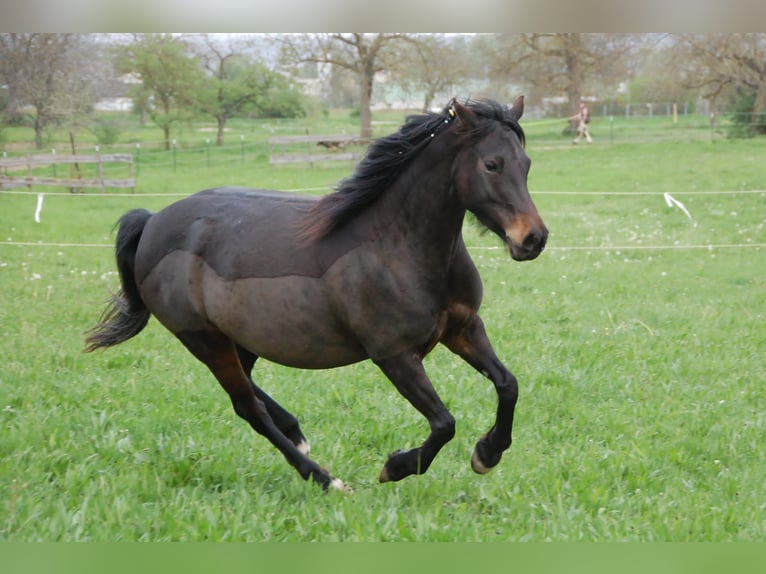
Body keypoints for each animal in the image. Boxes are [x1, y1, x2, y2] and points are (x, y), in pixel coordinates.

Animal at [87, 97, 548, 492]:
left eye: (526, 163)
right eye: (491, 164)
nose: (533, 239)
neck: (396, 248)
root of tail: (152, 222)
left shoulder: (463, 327)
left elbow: (508, 384)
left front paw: (487, 454)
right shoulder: (394, 354)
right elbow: (444, 423)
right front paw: (396, 466)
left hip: (240, 340)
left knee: (248, 392)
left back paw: (297, 433)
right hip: (205, 340)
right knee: (247, 408)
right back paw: (324, 479)